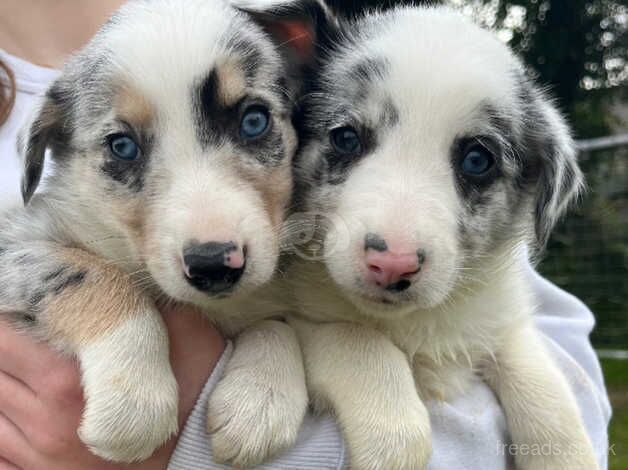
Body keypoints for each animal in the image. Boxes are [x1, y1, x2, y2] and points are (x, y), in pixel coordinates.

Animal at [0, 0, 318, 464]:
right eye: (122, 146)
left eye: (254, 121)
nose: (214, 264)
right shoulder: (15, 241)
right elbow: (93, 274)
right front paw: (134, 402)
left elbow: (278, 322)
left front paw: (261, 400)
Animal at [288, 6, 600, 470]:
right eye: (345, 137)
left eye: (477, 159)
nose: (393, 264)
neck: (418, 322)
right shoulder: (293, 315)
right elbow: (356, 338)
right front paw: (392, 439)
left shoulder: (502, 322)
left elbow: (543, 387)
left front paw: (567, 455)